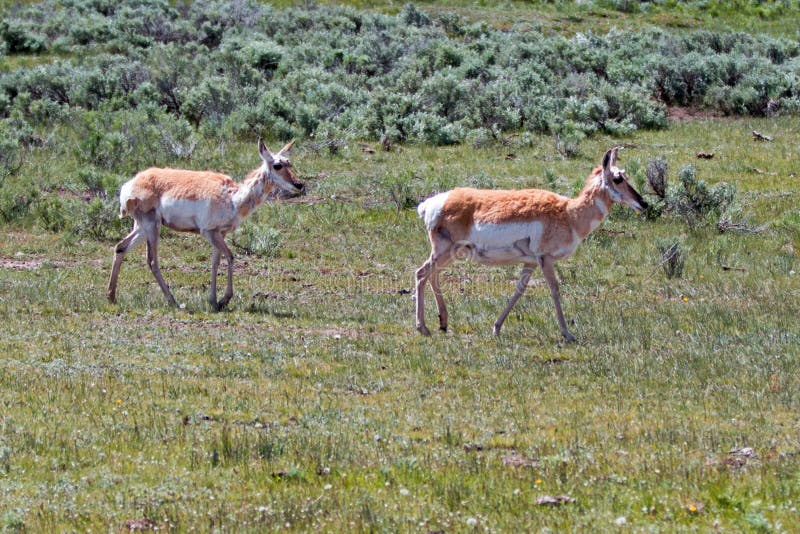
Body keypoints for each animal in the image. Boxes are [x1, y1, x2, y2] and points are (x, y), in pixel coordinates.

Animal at [106, 140, 304, 312]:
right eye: (277, 165)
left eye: (289, 163)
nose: (299, 184)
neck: (232, 196)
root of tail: (130, 184)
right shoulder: (209, 232)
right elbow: (230, 256)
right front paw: (224, 300)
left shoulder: (220, 234)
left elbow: (215, 263)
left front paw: (214, 301)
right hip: (151, 226)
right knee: (152, 261)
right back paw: (173, 302)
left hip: (142, 227)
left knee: (120, 247)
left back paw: (111, 296)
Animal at [416, 147, 648, 342]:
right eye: (618, 178)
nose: (644, 203)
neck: (569, 213)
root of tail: (431, 203)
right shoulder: (545, 259)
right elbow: (555, 289)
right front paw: (567, 333)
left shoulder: (531, 262)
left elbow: (519, 290)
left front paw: (496, 328)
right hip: (445, 251)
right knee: (422, 273)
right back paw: (423, 328)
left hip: (449, 253)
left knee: (432, 275)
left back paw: (443, 322)